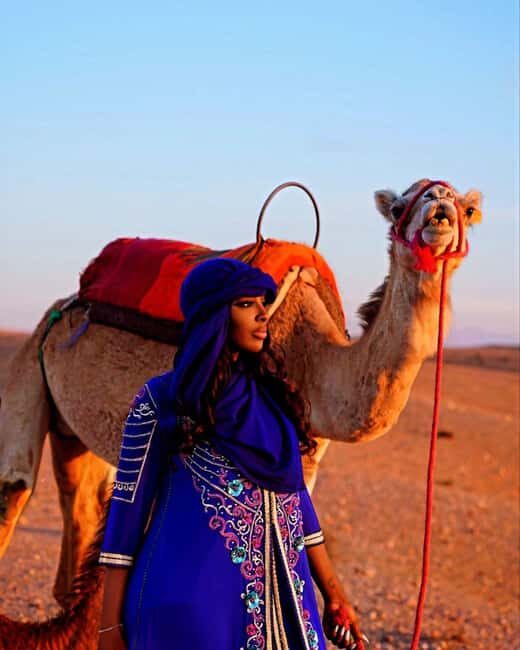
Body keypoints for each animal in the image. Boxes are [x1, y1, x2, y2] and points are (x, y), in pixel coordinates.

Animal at [0, 179, 482, 623]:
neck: (315, 359)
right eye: (401, 207)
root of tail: (67, 305)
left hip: (75, 429)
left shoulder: (307, 457)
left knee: (81, 503)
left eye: (466, 209)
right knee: (17, 485)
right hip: (31, 363)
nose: (439, 208)